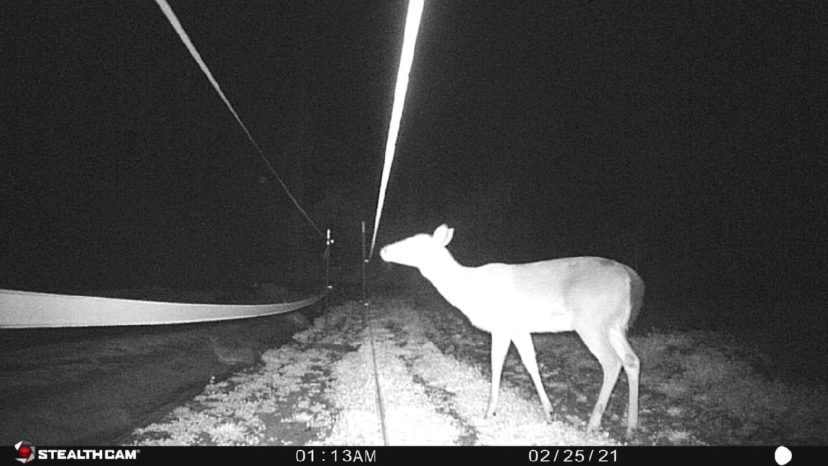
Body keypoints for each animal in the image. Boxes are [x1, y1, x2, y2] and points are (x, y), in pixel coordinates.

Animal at [380, 224, 644, 437]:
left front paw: (490, 411)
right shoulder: (517, 327)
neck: (468, 290)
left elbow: (498, 363)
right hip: (614, 325)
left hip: (591, 320)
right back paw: (631, 427)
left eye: (414, 244)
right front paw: (548, 412)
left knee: (612, 362)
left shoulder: (502, 325)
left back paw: (593, 424)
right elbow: (529, 363)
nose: (383, 250)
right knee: (632, 360)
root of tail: (630, 277)